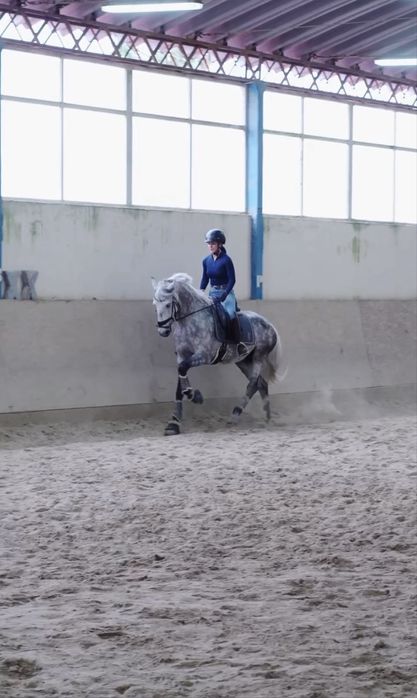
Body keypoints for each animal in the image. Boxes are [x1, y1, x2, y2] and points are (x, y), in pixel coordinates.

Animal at [152, 273, 284, 435]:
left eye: (167, 304)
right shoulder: (181, 355)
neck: (189, 320)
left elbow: (182, 369)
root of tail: (270, 325)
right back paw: (267, 418)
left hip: (258, 357)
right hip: (243, 361)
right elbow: (179, 385)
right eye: (155, 304)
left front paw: (195, 396)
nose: (162, 331)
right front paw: (173, 424)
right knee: (261, 383)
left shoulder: (205, 355)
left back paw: (235, 415)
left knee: (253, 384)